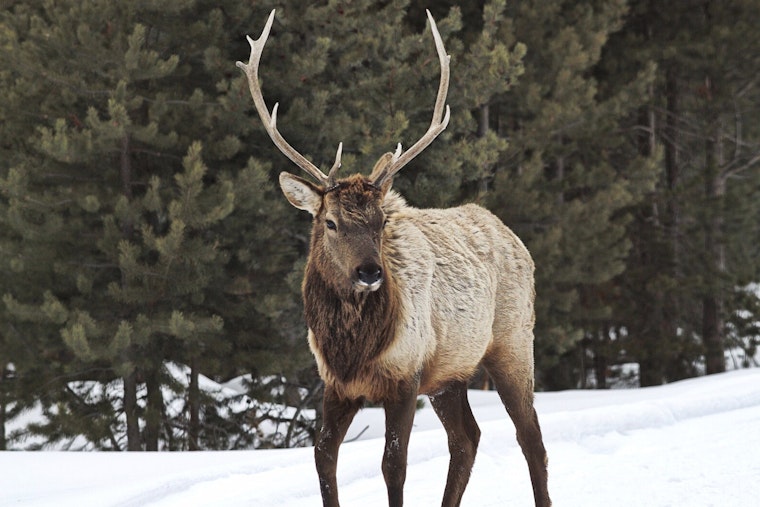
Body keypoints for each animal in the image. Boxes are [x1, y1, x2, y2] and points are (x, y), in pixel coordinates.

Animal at [237, 10, 551, 507]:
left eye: (382, 221)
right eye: (331, 222)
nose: (369, 272)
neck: (354, 345)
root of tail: (514, 237)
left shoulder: (405, 376)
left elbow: (393, 465)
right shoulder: (337, 384)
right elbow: (323, 457)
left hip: (513, 343)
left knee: (531, 438)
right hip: (450, 375)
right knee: (468, 438)